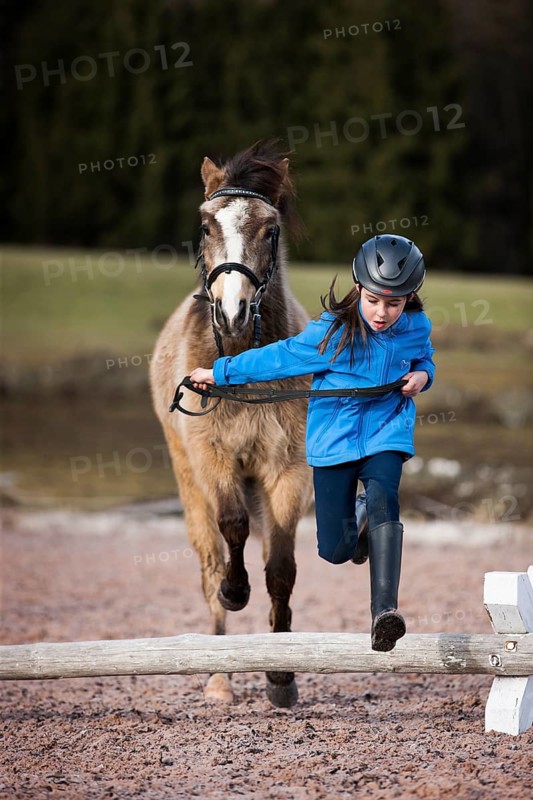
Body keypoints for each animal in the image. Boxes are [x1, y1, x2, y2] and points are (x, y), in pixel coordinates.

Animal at [149, 141, 313, 707]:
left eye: (271, 229)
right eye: (205, 226)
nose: (233, 312)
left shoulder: (287, 473)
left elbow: (282, 570)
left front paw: (282, 677)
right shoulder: (212, 460)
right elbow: (233, 528)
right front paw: (236, 591)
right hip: (188, 483)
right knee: (209, 564)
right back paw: (219, 676)